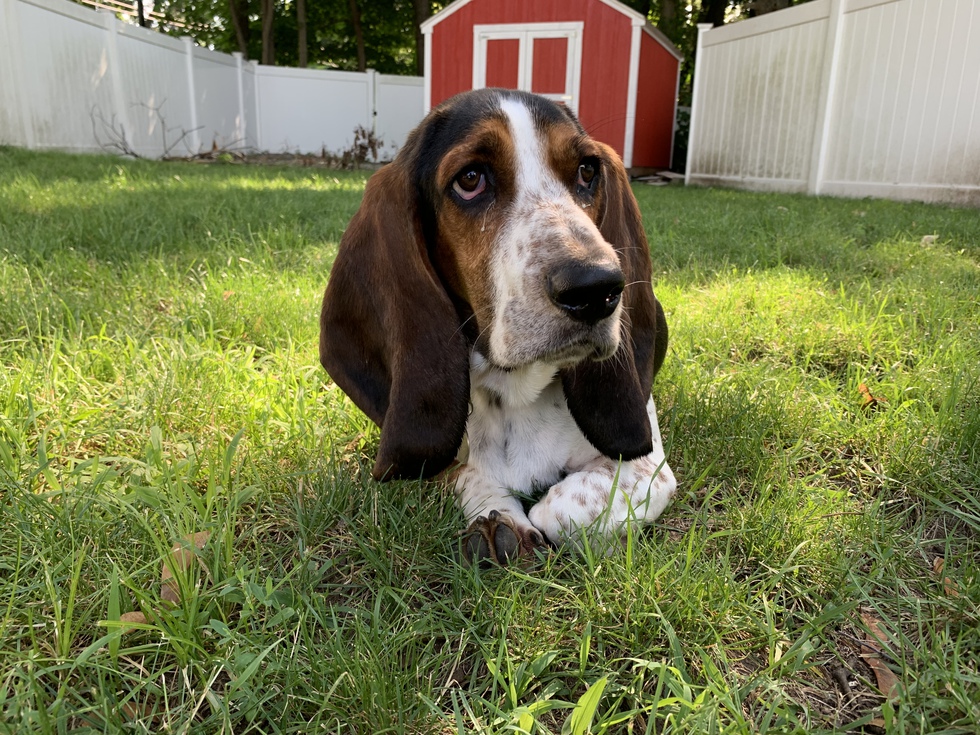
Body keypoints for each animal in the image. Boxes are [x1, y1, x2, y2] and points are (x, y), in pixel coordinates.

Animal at [320, 90, 672, 564]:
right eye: (470, 179)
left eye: (586, 171)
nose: (597, 288)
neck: (515, 392)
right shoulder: (443, 458)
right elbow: (471, 475)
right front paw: (500, 521)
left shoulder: (650, 466)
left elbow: (565, 507)